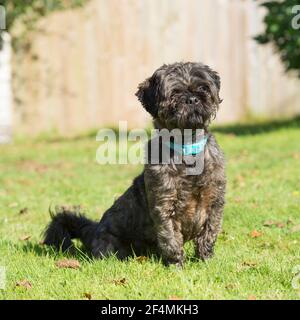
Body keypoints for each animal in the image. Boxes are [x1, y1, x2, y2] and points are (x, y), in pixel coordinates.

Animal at [43, 61, 226, 266]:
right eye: (175, 92)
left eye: (203, 87)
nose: (193, 99)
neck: (187, 149)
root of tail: (94, 229)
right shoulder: (164, 205)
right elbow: (171, 238)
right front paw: (176, 265)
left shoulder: (215, 201)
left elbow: (209, 233)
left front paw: (206, 260)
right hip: (110, 245)